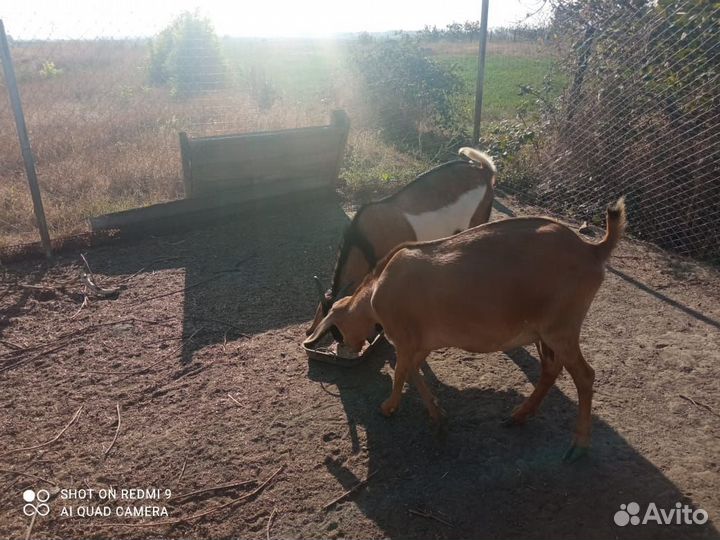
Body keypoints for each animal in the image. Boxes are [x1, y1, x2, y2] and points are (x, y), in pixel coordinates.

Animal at [305, 198, 627, 461]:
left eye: (337, 329)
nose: (346, 348)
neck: (377, 290)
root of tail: (593, 250)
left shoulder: (405, 339)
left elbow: (400, 374)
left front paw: (388, 408)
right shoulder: (422, 344)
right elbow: (413, 372)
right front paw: (437, 415)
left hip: (561, 328)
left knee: (585, 375)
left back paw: (579, 446)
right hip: (544, 333)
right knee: (551, 369)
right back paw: (518, 416)